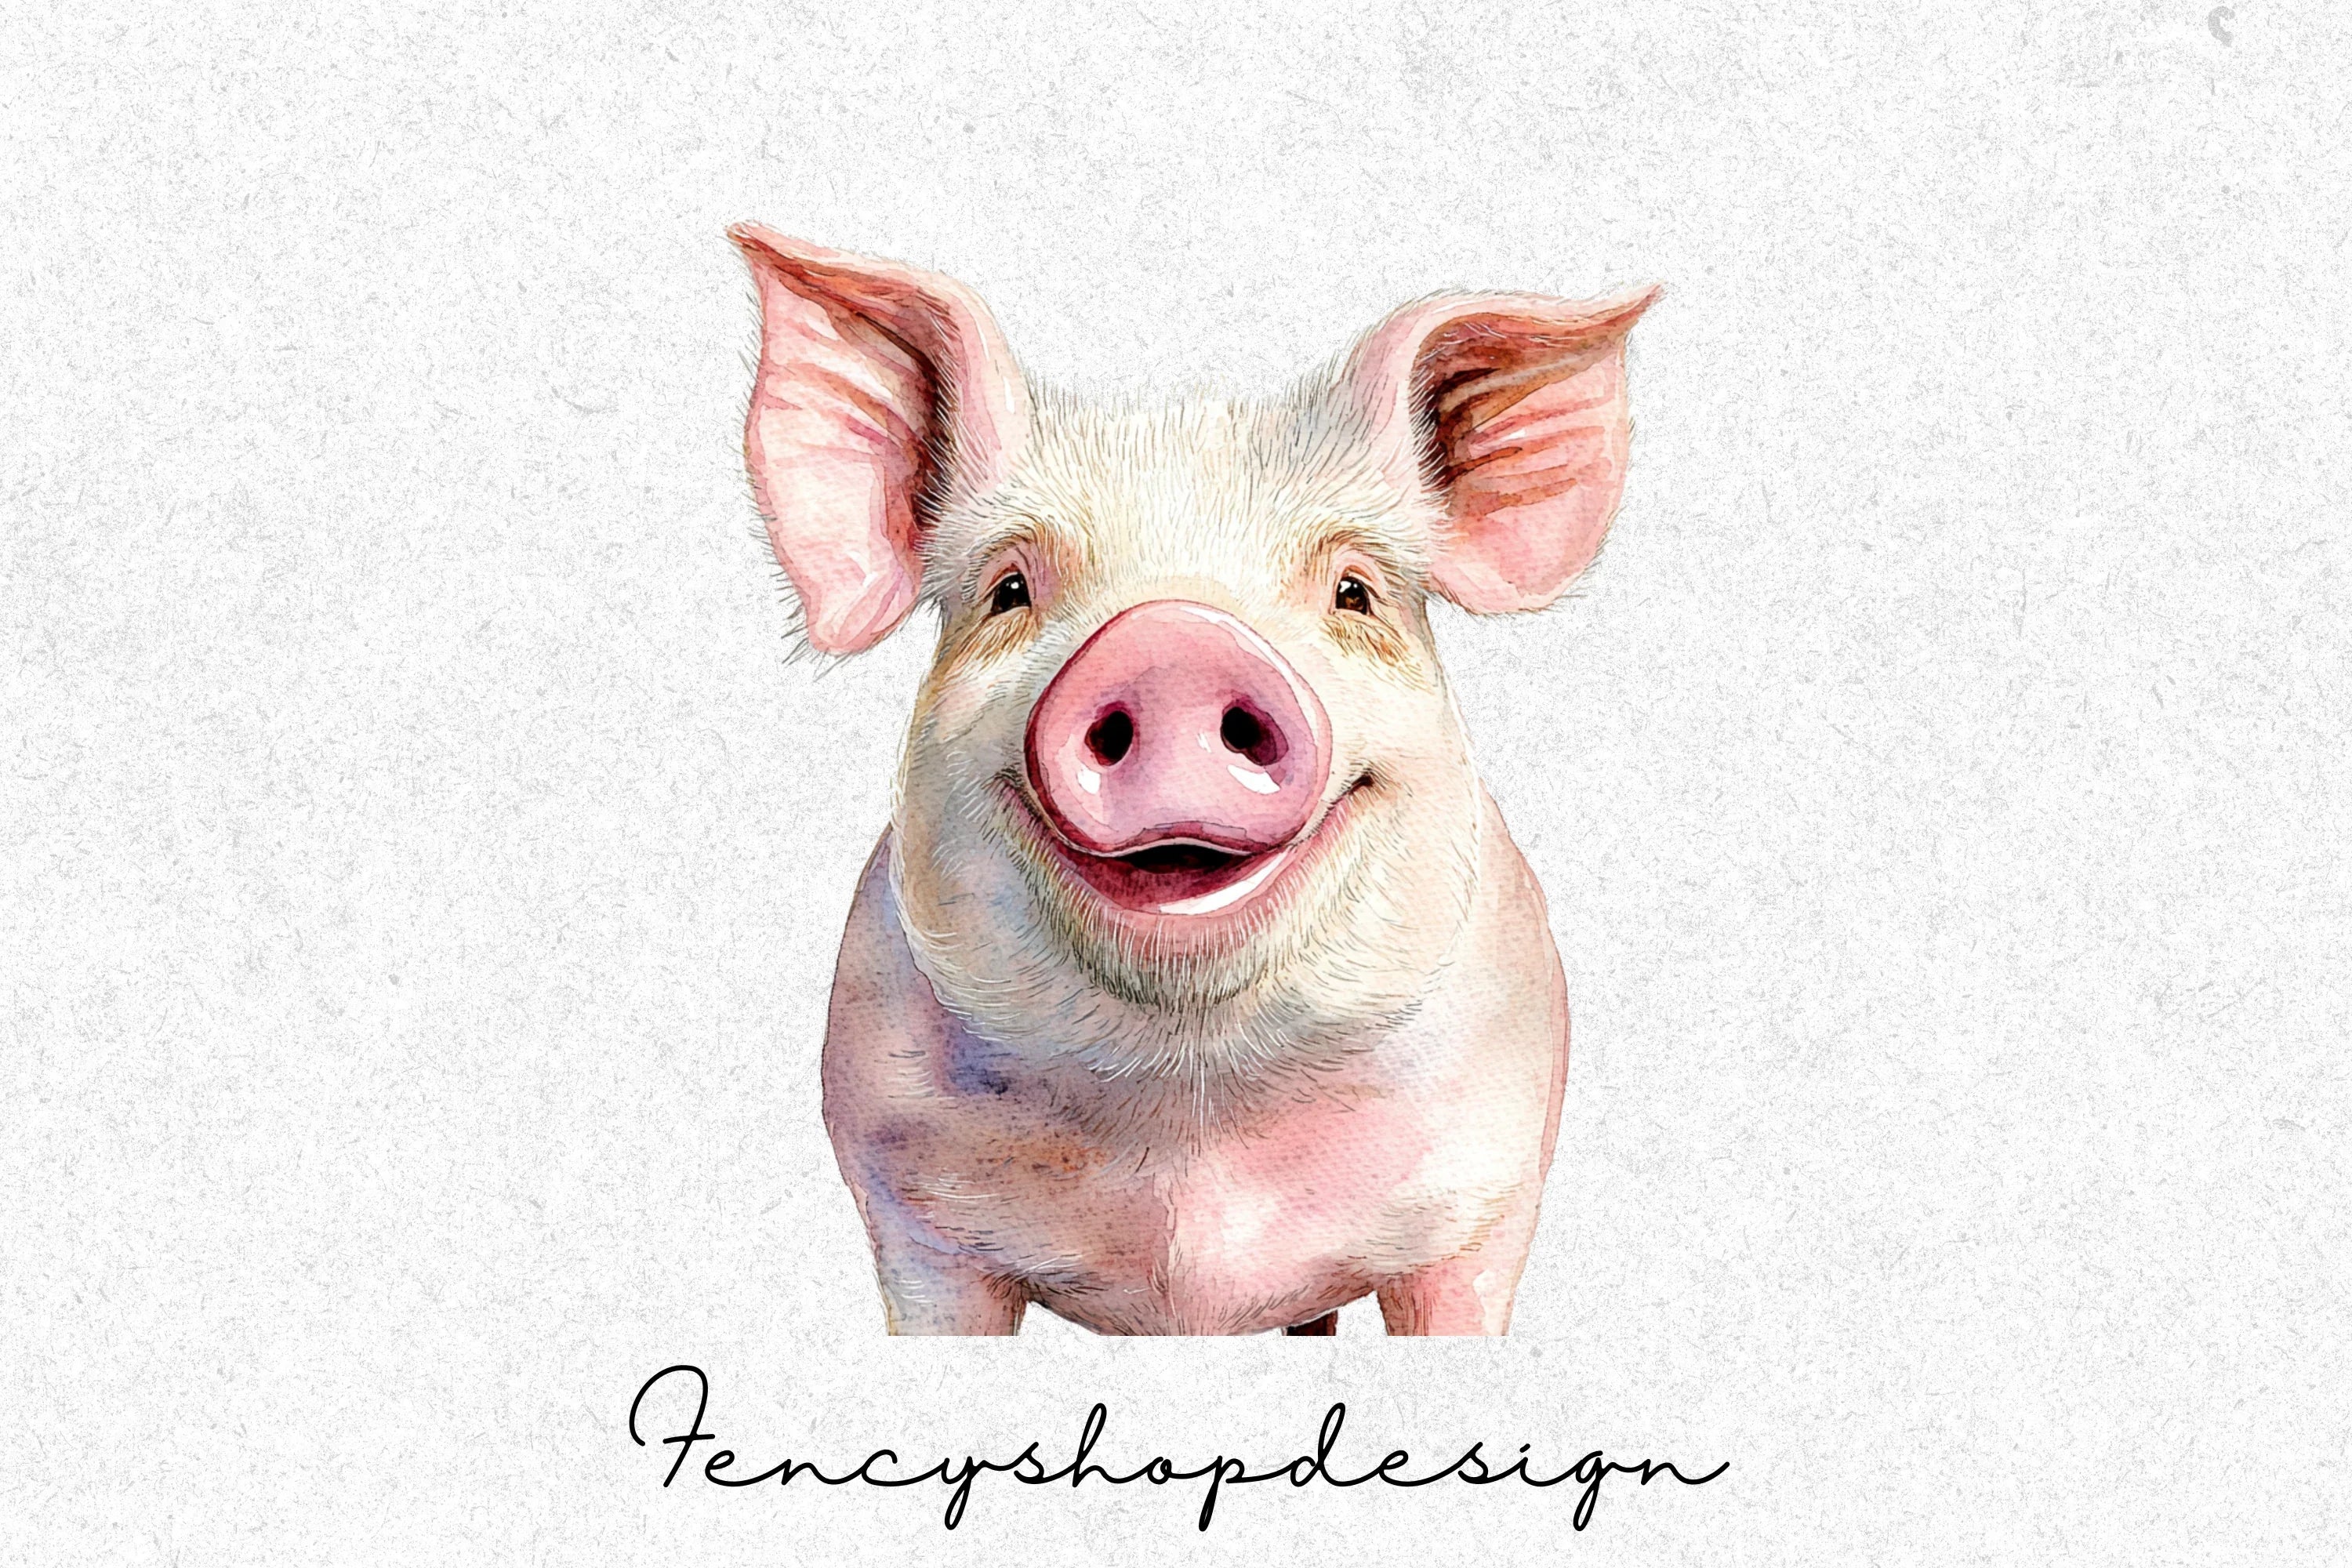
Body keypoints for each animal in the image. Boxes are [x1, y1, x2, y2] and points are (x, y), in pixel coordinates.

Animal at [728, 224, 1658, 1335]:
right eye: (1009, 589)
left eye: (1355, 591)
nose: (1174, 640)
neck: (1190, 1104)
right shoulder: (914, 1226)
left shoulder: (1488, 1203)